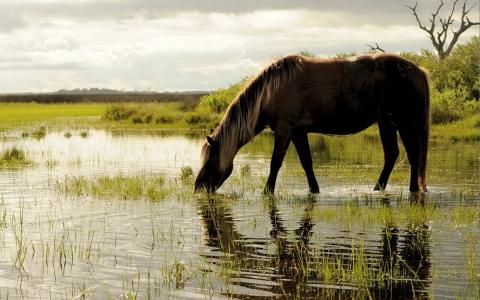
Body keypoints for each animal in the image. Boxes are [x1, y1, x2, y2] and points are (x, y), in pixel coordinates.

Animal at [195, 54, 432, 195]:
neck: (272, 90)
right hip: (387, 122)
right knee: (393, 154)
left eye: (210, 160)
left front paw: (267, 191)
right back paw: (380, 188)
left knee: (412, 154)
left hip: (404, 122)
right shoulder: (298, 132)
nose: (198, 187)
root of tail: (419, 71)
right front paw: (314, 190)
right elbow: (307, 162)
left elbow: (275, 163)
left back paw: (410, 189)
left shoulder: (285, 130)